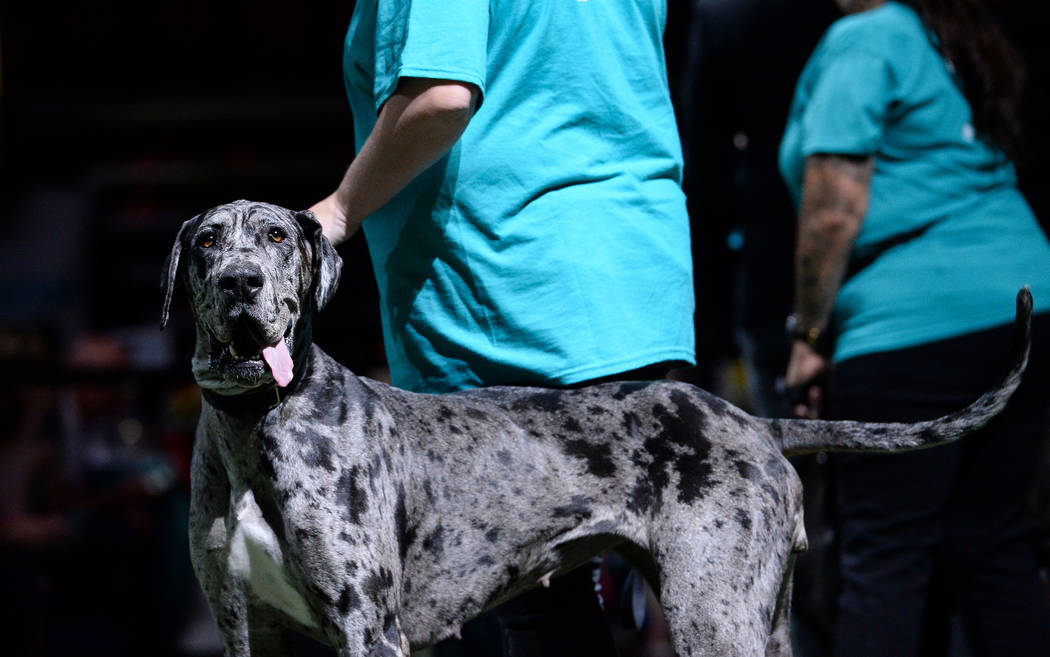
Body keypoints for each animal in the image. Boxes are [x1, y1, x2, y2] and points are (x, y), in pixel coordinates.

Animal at [163, 200, 1033, 654]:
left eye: (278, 236)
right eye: (207, 240)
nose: (240, 283)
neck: (256, 421)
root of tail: (752, 419)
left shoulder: (366, 624)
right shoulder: (247, 628)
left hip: (714, 612)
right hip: (763, 615)